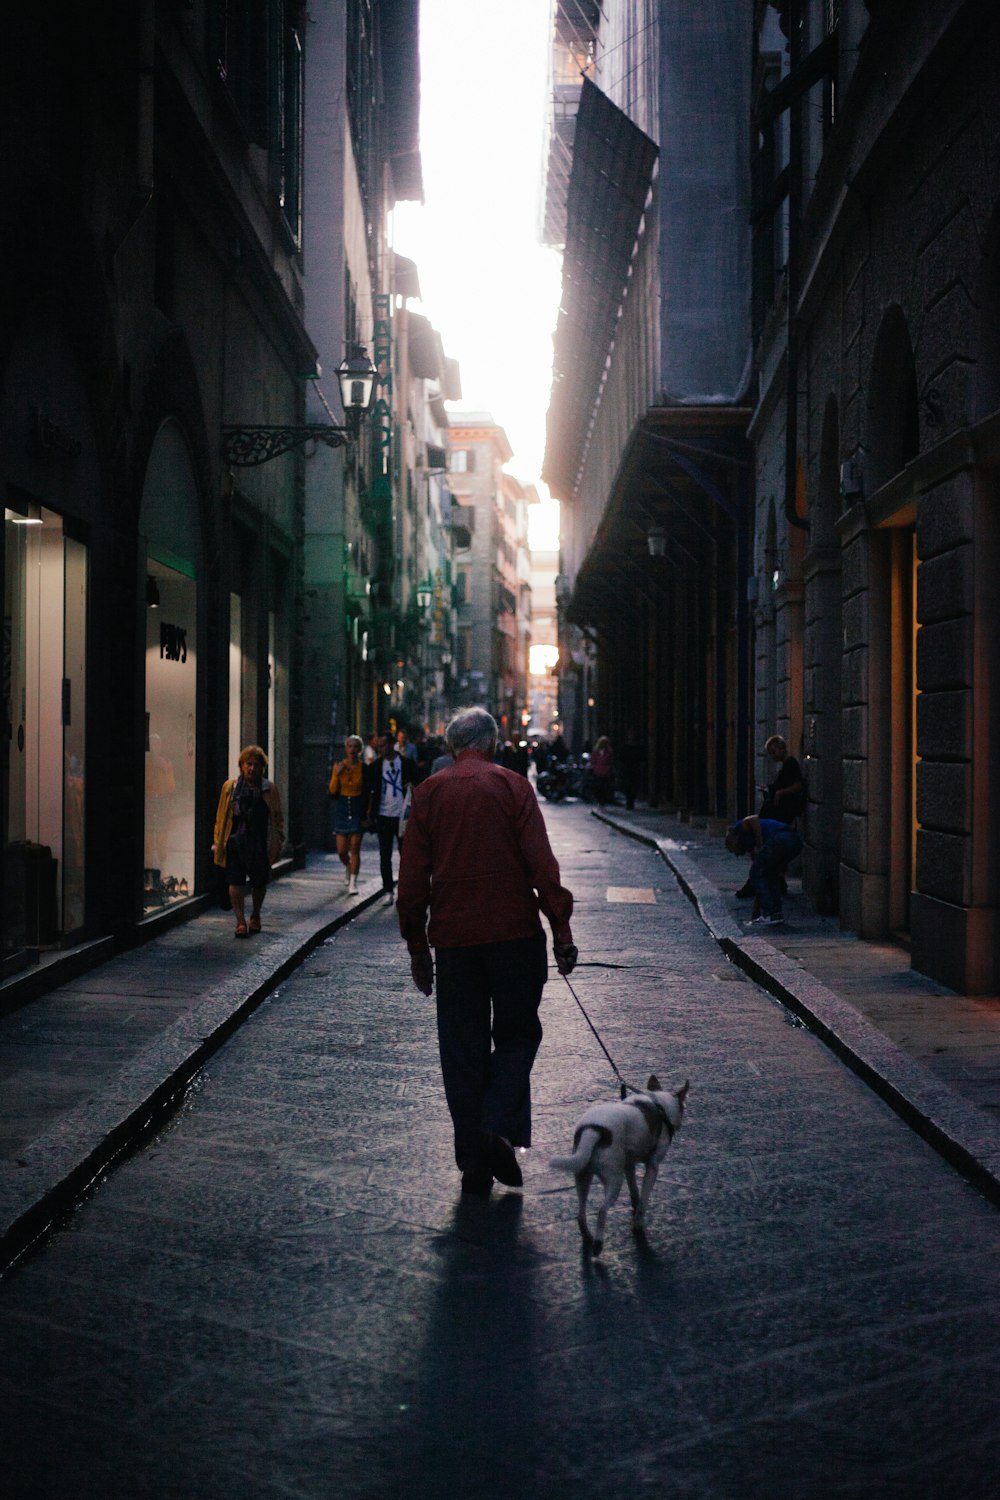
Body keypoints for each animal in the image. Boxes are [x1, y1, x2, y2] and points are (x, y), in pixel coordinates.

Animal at [548, 1080, 689, 1254]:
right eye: (683, 1107)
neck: (659, 1102)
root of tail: (594, 1129)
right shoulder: (652, 1167)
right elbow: (643, 1201)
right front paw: (638, 1224)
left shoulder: (629, 1165)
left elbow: (634, 1191)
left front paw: (634, 1208)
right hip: (614, 1180)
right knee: (602, 1210)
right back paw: (598, 1243)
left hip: (582, 1175)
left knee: (580, 1213)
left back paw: (588, 1237)